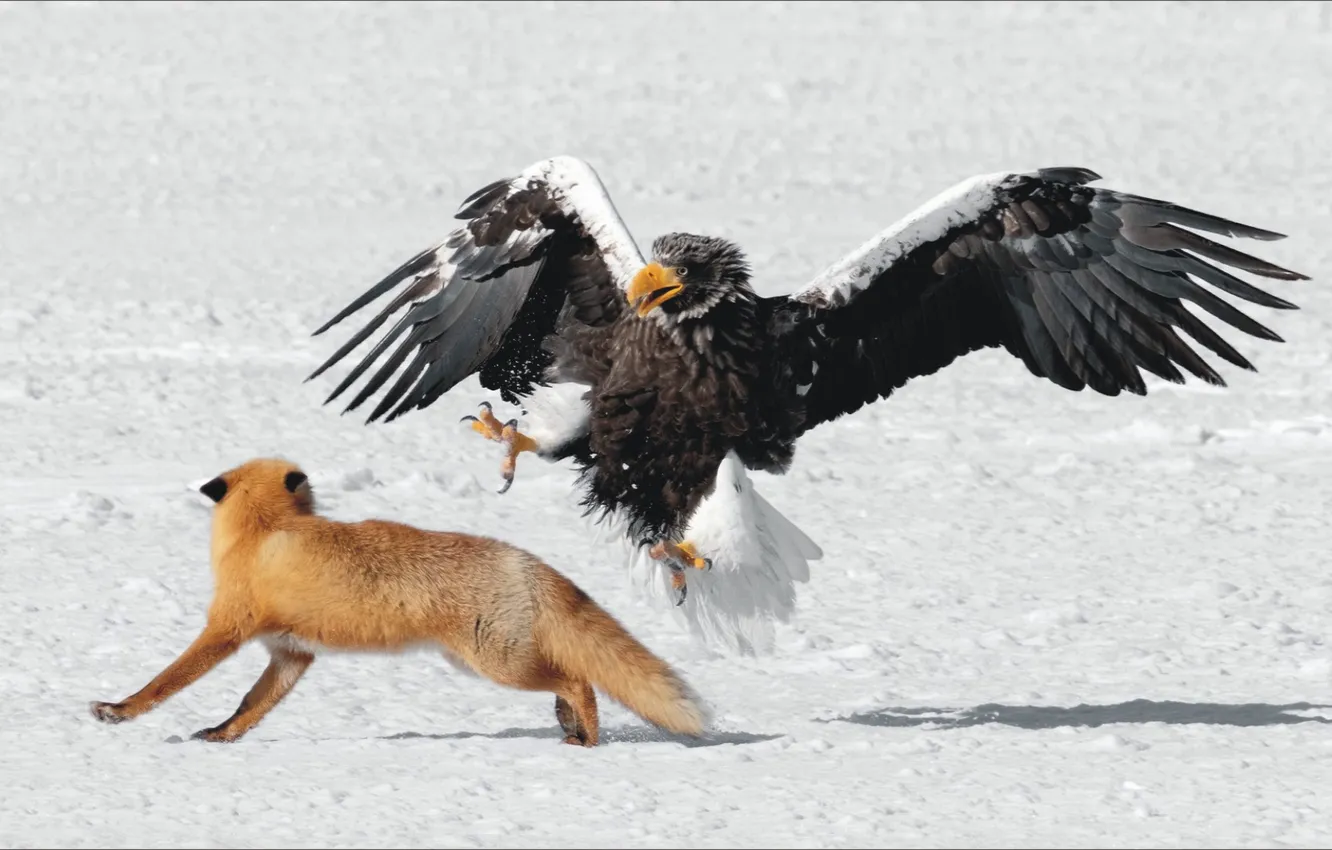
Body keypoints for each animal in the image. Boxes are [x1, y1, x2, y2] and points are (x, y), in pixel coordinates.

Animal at [89, 457, 709, 747]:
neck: (265, 529)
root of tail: (523, 559)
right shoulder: (292, 653)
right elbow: (250, 707)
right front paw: (220, 737)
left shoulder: (226, 629)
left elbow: (165, 682)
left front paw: (119, 711)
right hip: (476, 663)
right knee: (571, 678)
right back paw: (570, 725)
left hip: (497, 664)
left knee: (579, 680)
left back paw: (585, 737)